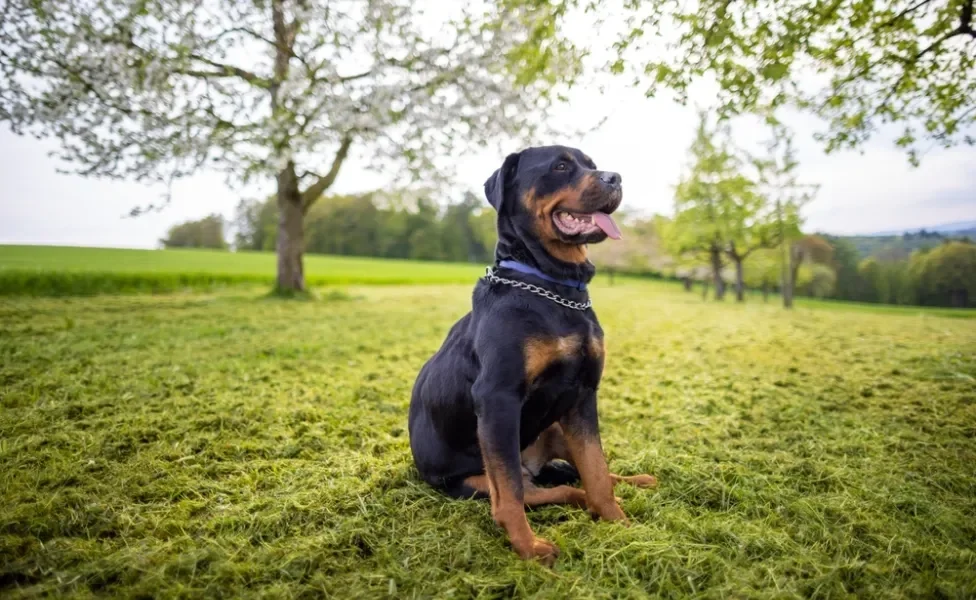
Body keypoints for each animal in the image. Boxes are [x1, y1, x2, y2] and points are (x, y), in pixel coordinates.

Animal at [404, 144, 656, 564]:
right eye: (561, 166)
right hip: (475, 479)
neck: (553, 286)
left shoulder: (583, 395)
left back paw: (636, 480)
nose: (615, 178)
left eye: (591, 164)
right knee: (538, 490)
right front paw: (528, 547)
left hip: (553, 426)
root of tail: (535, 466)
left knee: (583, 475)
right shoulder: (498, 399)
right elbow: (510, 496)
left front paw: (618, 523)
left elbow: (597, 468)